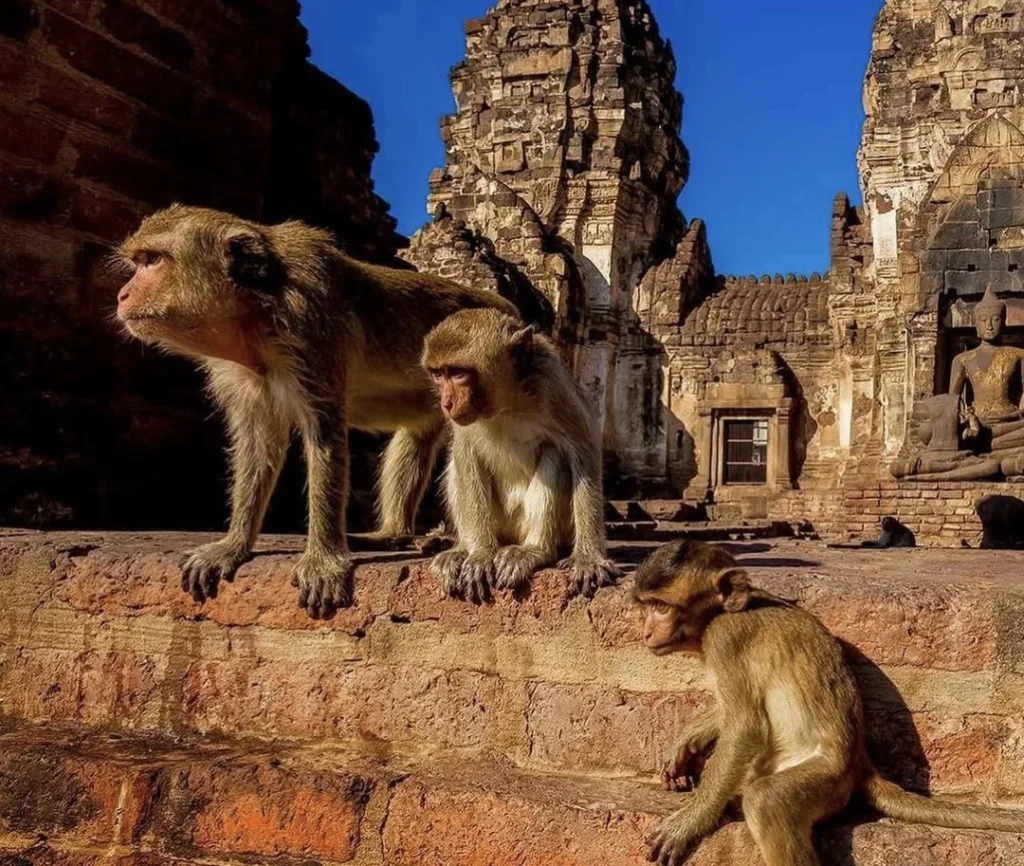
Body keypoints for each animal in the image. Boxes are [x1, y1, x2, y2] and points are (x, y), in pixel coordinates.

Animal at [115, 204, 518, 618]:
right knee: (417, 436)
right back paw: (392, 533)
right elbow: (258, 443)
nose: (122, 294)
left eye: (152, 260)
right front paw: (233, 544)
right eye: (139, 261)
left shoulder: (310, 324)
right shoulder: (241, 373)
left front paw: (323, 560)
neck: (256, 312)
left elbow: (324, 433)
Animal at [420, 308, 620, 602]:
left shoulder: (553, 383)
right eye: (438, 374)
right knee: (458, 464)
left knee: (555, 454)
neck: (506, 402)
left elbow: (583, 450)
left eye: (457, 373)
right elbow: (466, 454)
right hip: (500, 524)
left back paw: (534, 550)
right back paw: (463, 549)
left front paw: (588, 558)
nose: (446, 402)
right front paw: (479, 554)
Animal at [634, 539, 1024, 866]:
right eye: (647, 607)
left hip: (828, 782)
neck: (720, 614)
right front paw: (685, 743)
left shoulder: (726, 638)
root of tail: (860, 764)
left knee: (766, 801)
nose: (646, 632)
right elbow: (731, 714)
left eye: (661, 607)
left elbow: (745, 725)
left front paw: (689, 822)